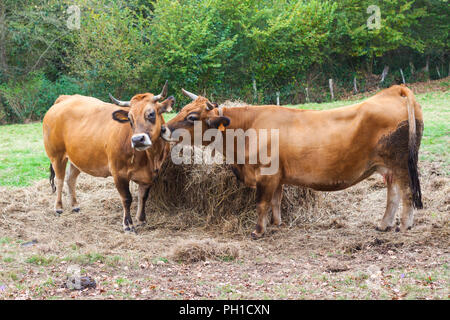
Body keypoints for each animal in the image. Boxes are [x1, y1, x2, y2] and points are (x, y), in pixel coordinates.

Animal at [43, 82, 174, 232]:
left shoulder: (150, 175)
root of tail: (65, 98)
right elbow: (127, 198)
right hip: (57, 156)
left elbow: (143, 196)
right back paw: (58, 207)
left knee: (70, 178)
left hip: (78, 158)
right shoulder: (119, 173)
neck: (150, 157)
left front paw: (141, 219)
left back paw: (75, 205)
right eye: (129, 119)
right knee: (59, 180)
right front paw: (128, 224)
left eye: (151, 114)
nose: (137, 140)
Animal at [163, 86, 424, 239]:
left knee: (407, 193)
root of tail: (394, 90)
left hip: (401, 164)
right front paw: (277, 225)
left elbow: (261, 203)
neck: (248, 128)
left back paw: (404, 226)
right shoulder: (278, 177)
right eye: (183, 108)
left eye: (192, 117)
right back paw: (384, 224)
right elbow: (276, 202)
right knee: (393, 195)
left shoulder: (266, 175)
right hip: (387, 167)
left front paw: (258, 231)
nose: (164, 128)